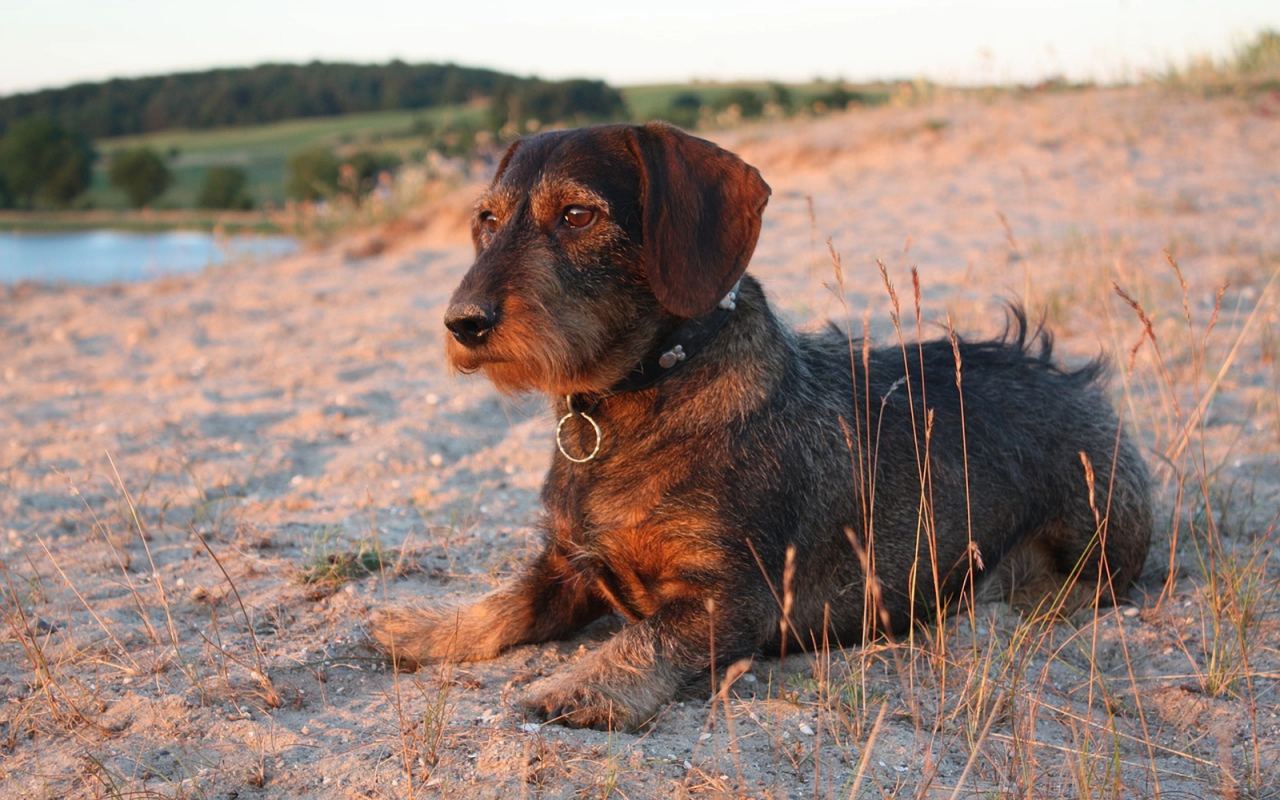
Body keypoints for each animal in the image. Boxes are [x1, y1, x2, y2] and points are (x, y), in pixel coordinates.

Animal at [366, 121, 1157, 727]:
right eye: (487, 219)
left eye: (578, 216)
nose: (462, 323)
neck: (644, 392)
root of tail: (1082, 387)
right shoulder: (568, 563)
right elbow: (508, 601)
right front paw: (423, 626)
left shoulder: (734, 599)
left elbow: (642, 641)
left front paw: (576, 685)